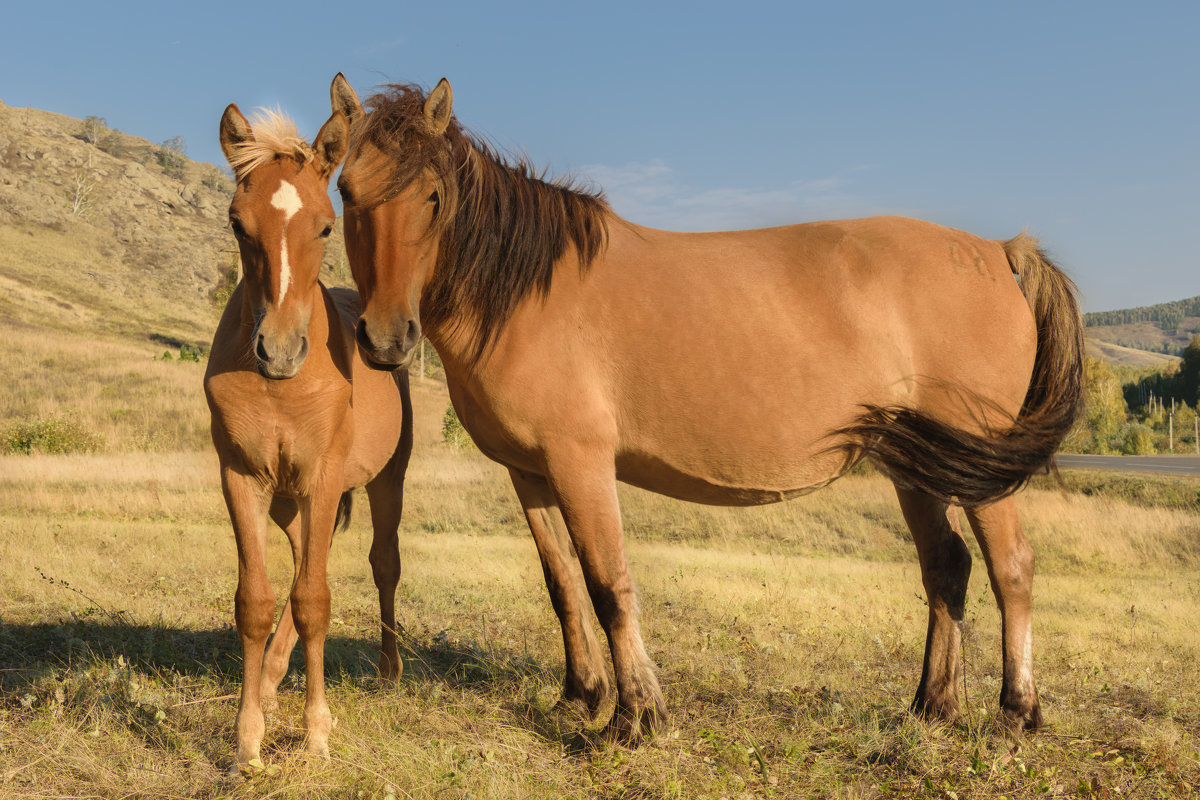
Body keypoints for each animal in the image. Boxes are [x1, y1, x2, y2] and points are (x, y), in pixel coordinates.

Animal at [204, 103, 415, 767]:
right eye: (237, 222)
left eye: (326, 227)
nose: (278, 350)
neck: (281, 390)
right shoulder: (242, 478)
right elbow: (259, 601)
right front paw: (247, 739)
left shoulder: (324, 478)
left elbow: (316, 601)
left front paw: (317, 732)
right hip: (287, 499)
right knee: (302, 564)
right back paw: (272, 682)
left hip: (384, 480)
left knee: (381, 564)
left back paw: (389, 669)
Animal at [331, 76, 1089, 743]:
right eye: (345, 190)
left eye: (433, 196)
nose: (385, 338)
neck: (526, 290)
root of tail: (999, 254)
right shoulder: (530, 471)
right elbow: (562, 582)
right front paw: (582, 696)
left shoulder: (580, 463)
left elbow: (608, 583)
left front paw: (637, 716)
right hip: (919, 465)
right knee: (946, 568)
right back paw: (933, 707)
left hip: (978, 468)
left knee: (1010, 567)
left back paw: (1016, 713)